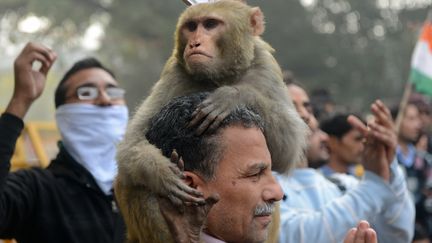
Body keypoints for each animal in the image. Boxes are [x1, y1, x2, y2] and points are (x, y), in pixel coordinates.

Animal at [115, 0, 308, 242]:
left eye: (210, 24)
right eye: (191, 26)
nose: (194, 43)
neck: (218, 77)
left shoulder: (265, 68)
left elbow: (288, 150)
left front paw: (234, 97)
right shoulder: (174, 74)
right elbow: (131, 143)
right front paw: (162, 174)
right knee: (131, 181)